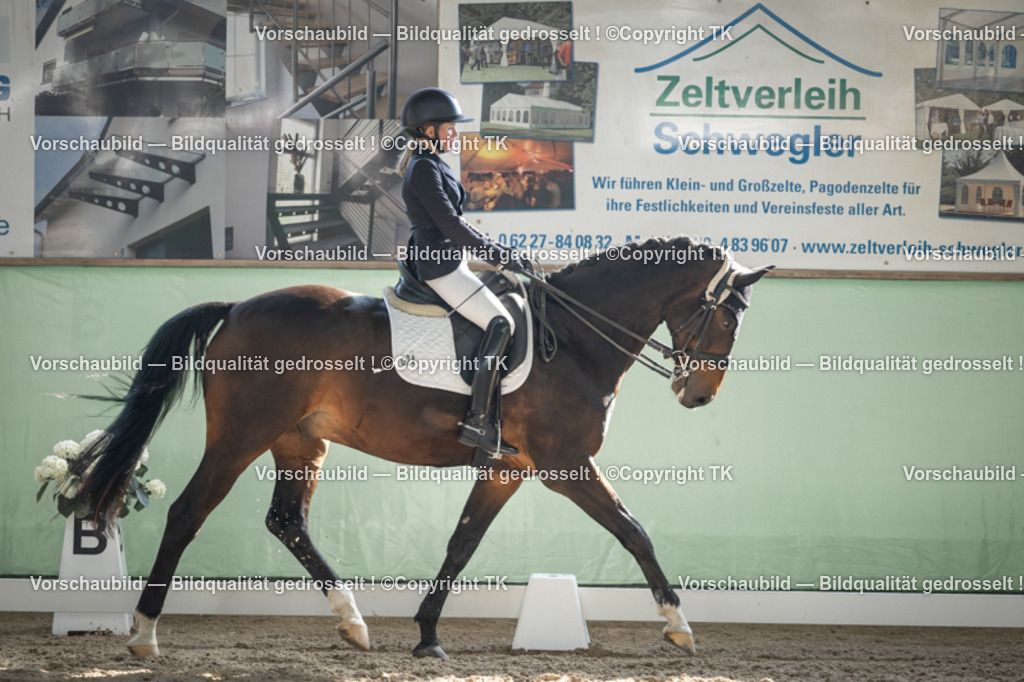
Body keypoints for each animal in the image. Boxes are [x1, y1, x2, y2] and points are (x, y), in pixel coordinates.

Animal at [70, 235, 773, 660]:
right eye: (727, 316)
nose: (698, 395)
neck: (574, 337)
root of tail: (238, 305)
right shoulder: (566, 465)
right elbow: (634, 531)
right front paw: (679, 626)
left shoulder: (509, 469)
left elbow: (461, 545)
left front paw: (428, 635)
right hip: (242, 435)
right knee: (188, 513)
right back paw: (144, 635)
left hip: (299, 442)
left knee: (286, 521)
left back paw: (353, 621)